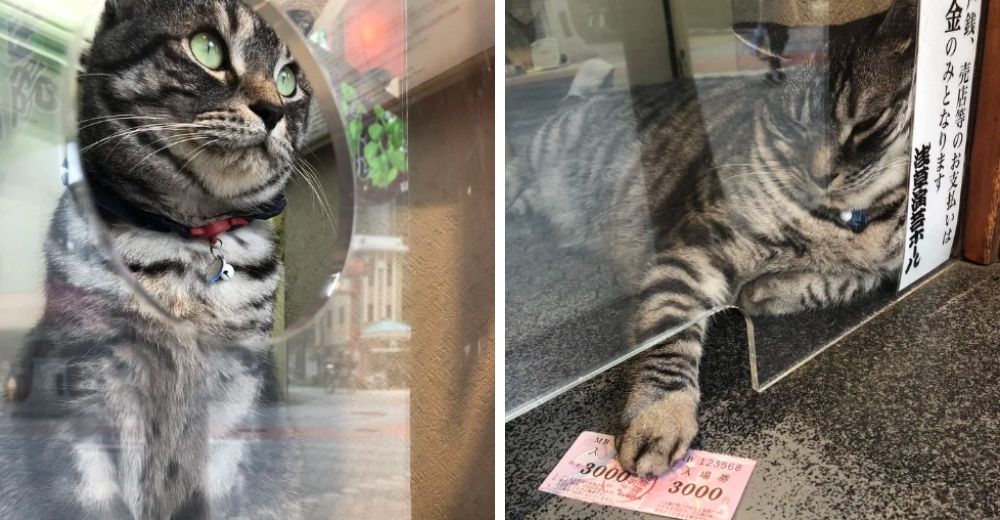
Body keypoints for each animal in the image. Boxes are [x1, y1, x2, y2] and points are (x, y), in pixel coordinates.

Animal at [0, 1, 312, 516]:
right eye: (208, 48)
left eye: (287, 80)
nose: (274, 110)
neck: (187, 243)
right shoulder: (83, 381)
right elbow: (92, 495)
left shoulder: (238, 391)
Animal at [512, 0, 916, 476]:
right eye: (793, 125)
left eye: (867, 122)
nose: (820, 176)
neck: (847, 219)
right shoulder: (697, 249)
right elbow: (667, 332)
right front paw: (661, 415)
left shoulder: (889, 266)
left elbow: (843, 282)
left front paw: (769, 290)